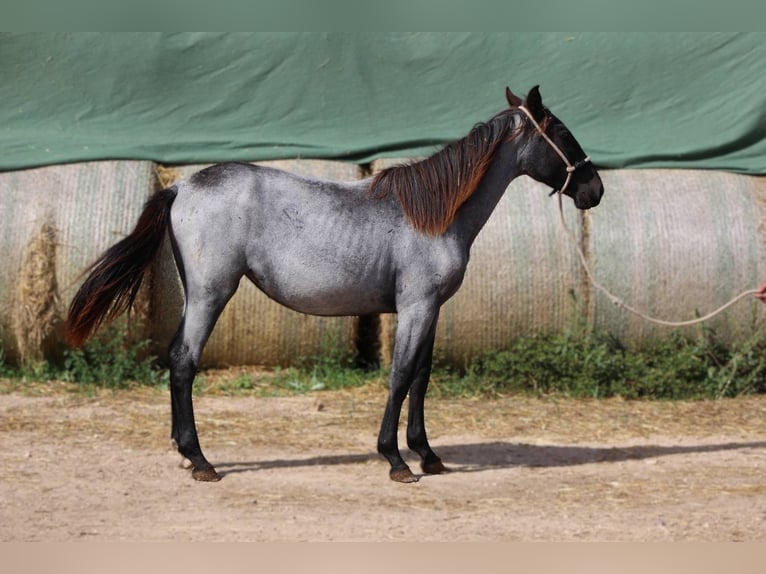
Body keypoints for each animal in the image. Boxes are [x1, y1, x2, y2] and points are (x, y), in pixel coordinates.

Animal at [66, 85, 604, 484]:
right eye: (561, 131)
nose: (594, 189)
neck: (434, 216)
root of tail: (179, 185)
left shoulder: (431, 310)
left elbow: (422, 377)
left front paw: (428, 454)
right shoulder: (416, 308)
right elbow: (401, 376)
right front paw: (396, 460)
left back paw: (186, 454)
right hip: (209, 295)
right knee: (183, 361)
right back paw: (200, 460)